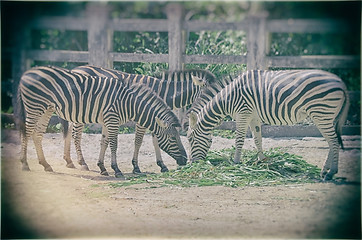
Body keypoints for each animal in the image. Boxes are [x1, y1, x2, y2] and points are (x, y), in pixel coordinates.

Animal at [16, 64, 187, 177]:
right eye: (173, 138)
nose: (185, 160)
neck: (129, 103)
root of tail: (27, 73)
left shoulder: (107, 120)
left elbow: (104, 142)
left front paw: (103, 168)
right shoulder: (112, 119)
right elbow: (114, 144)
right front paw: (116, 170)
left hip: (47, 108)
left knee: (37, 134)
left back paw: (46, 165)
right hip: (34, 106)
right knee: (27, 132)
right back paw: (24, 164)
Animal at [61, 64, 216, 173]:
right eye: (209, 94)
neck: (162, 92)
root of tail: (75, 69)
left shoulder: (156, 118)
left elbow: (155, 141)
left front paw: (162, 165)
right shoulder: (145, 118)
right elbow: (139, 141)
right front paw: (136, 167)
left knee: (69, 131)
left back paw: (69, 161)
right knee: (76, 134)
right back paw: (82, 163)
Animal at [188, 69, 350, 180]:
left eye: (190, 139)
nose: (192, 164)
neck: (227, 99)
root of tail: (341, 83)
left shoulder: (243, 113)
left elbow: (239, 140)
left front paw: (236, 162)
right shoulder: (253, 116)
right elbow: (257, 139)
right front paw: (261, 161)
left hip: (321, 113)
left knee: (333, 141)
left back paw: (331, 173)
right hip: (324, 116)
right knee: (331, 141)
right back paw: (324, 171)